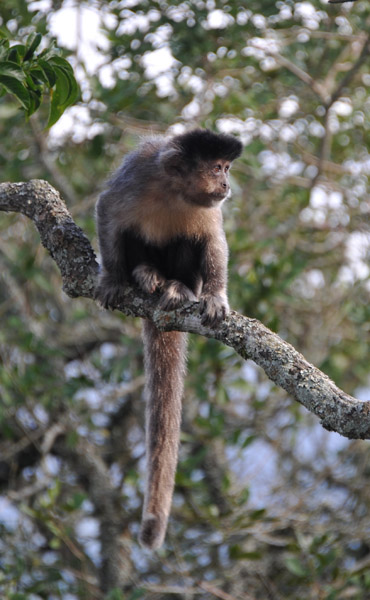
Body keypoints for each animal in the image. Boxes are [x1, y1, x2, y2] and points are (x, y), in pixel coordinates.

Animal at [94, 129, 243, 552]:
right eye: (217, 168)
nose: (226, 184)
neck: (174, 192)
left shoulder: (209, 211)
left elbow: (214, 244)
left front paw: (215, 296)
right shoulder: (134, 180)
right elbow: (107, 211)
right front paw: (113, 278)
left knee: (187, 246)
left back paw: (177, 287)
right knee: (132, 237)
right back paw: (145, 274)